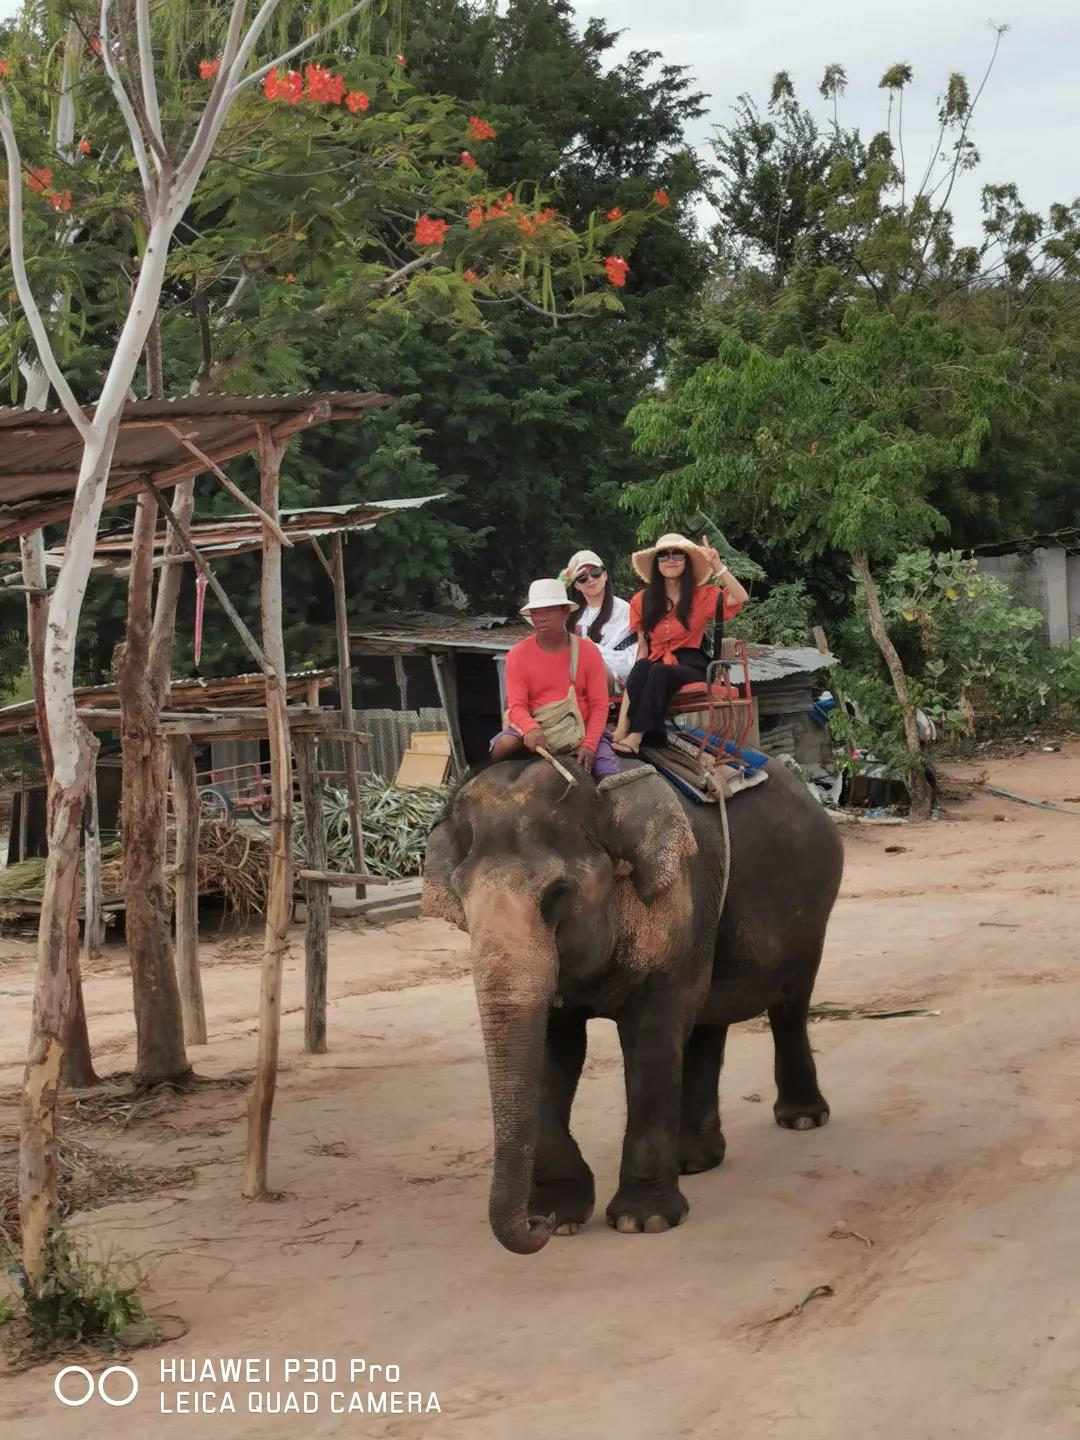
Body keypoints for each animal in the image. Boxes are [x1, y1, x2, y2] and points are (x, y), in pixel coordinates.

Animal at [421, 753, 844, 1255]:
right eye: (462, 901)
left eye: (557, 894)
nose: (535, 1222)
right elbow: (552, 1052)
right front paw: (562, 1218)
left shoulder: (674, 901)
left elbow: (652, 1039)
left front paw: (644, 1221)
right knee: (707, 1022)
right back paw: (694, 1161)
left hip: (814, 911)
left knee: (789, 1005)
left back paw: (802, 1120)